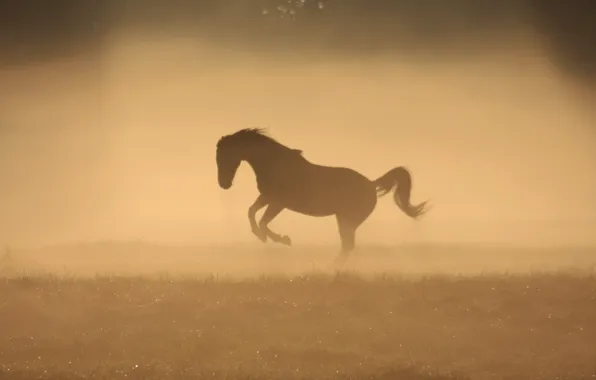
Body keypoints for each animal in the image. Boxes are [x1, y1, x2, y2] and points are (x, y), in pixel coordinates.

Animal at [214, 127, 428, 262]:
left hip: (347, 220)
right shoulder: (267, 198)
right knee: (347, 245)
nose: (223, 184)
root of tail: (370, 184)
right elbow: (251, 213)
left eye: (225, 156)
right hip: (345, 220)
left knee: (347, 245)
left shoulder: (279, 202)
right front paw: (262, 237)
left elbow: (263, 221)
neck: (274, 164)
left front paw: (281, 239)